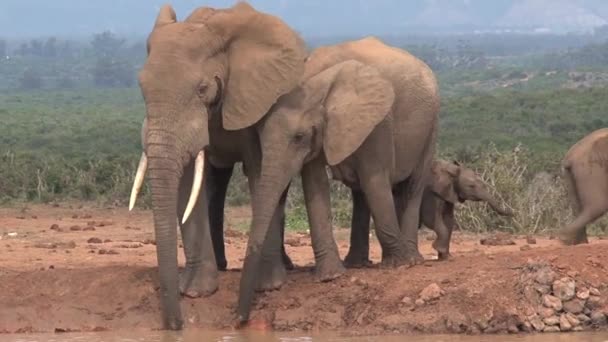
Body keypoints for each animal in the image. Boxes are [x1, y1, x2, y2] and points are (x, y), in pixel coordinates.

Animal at [129, 2, 308, 328]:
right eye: (142, 89)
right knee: (215, 182)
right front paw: (195, 292)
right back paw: (223, 266)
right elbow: (189, 180)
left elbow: (259, 172)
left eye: (202, 88)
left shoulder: (255, 97)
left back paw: (284, 268)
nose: (176, 325)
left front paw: (269, 286)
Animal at [245, 36, 440, 300]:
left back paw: (411, 260)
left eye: (298, 137)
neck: (318, 81)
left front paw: (397, 265)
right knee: (361, 193)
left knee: (412, 186)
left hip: (432, 124)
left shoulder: (378, 121)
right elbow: (315, 185)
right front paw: (330, 277)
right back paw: (356, 264)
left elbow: (375, 180)